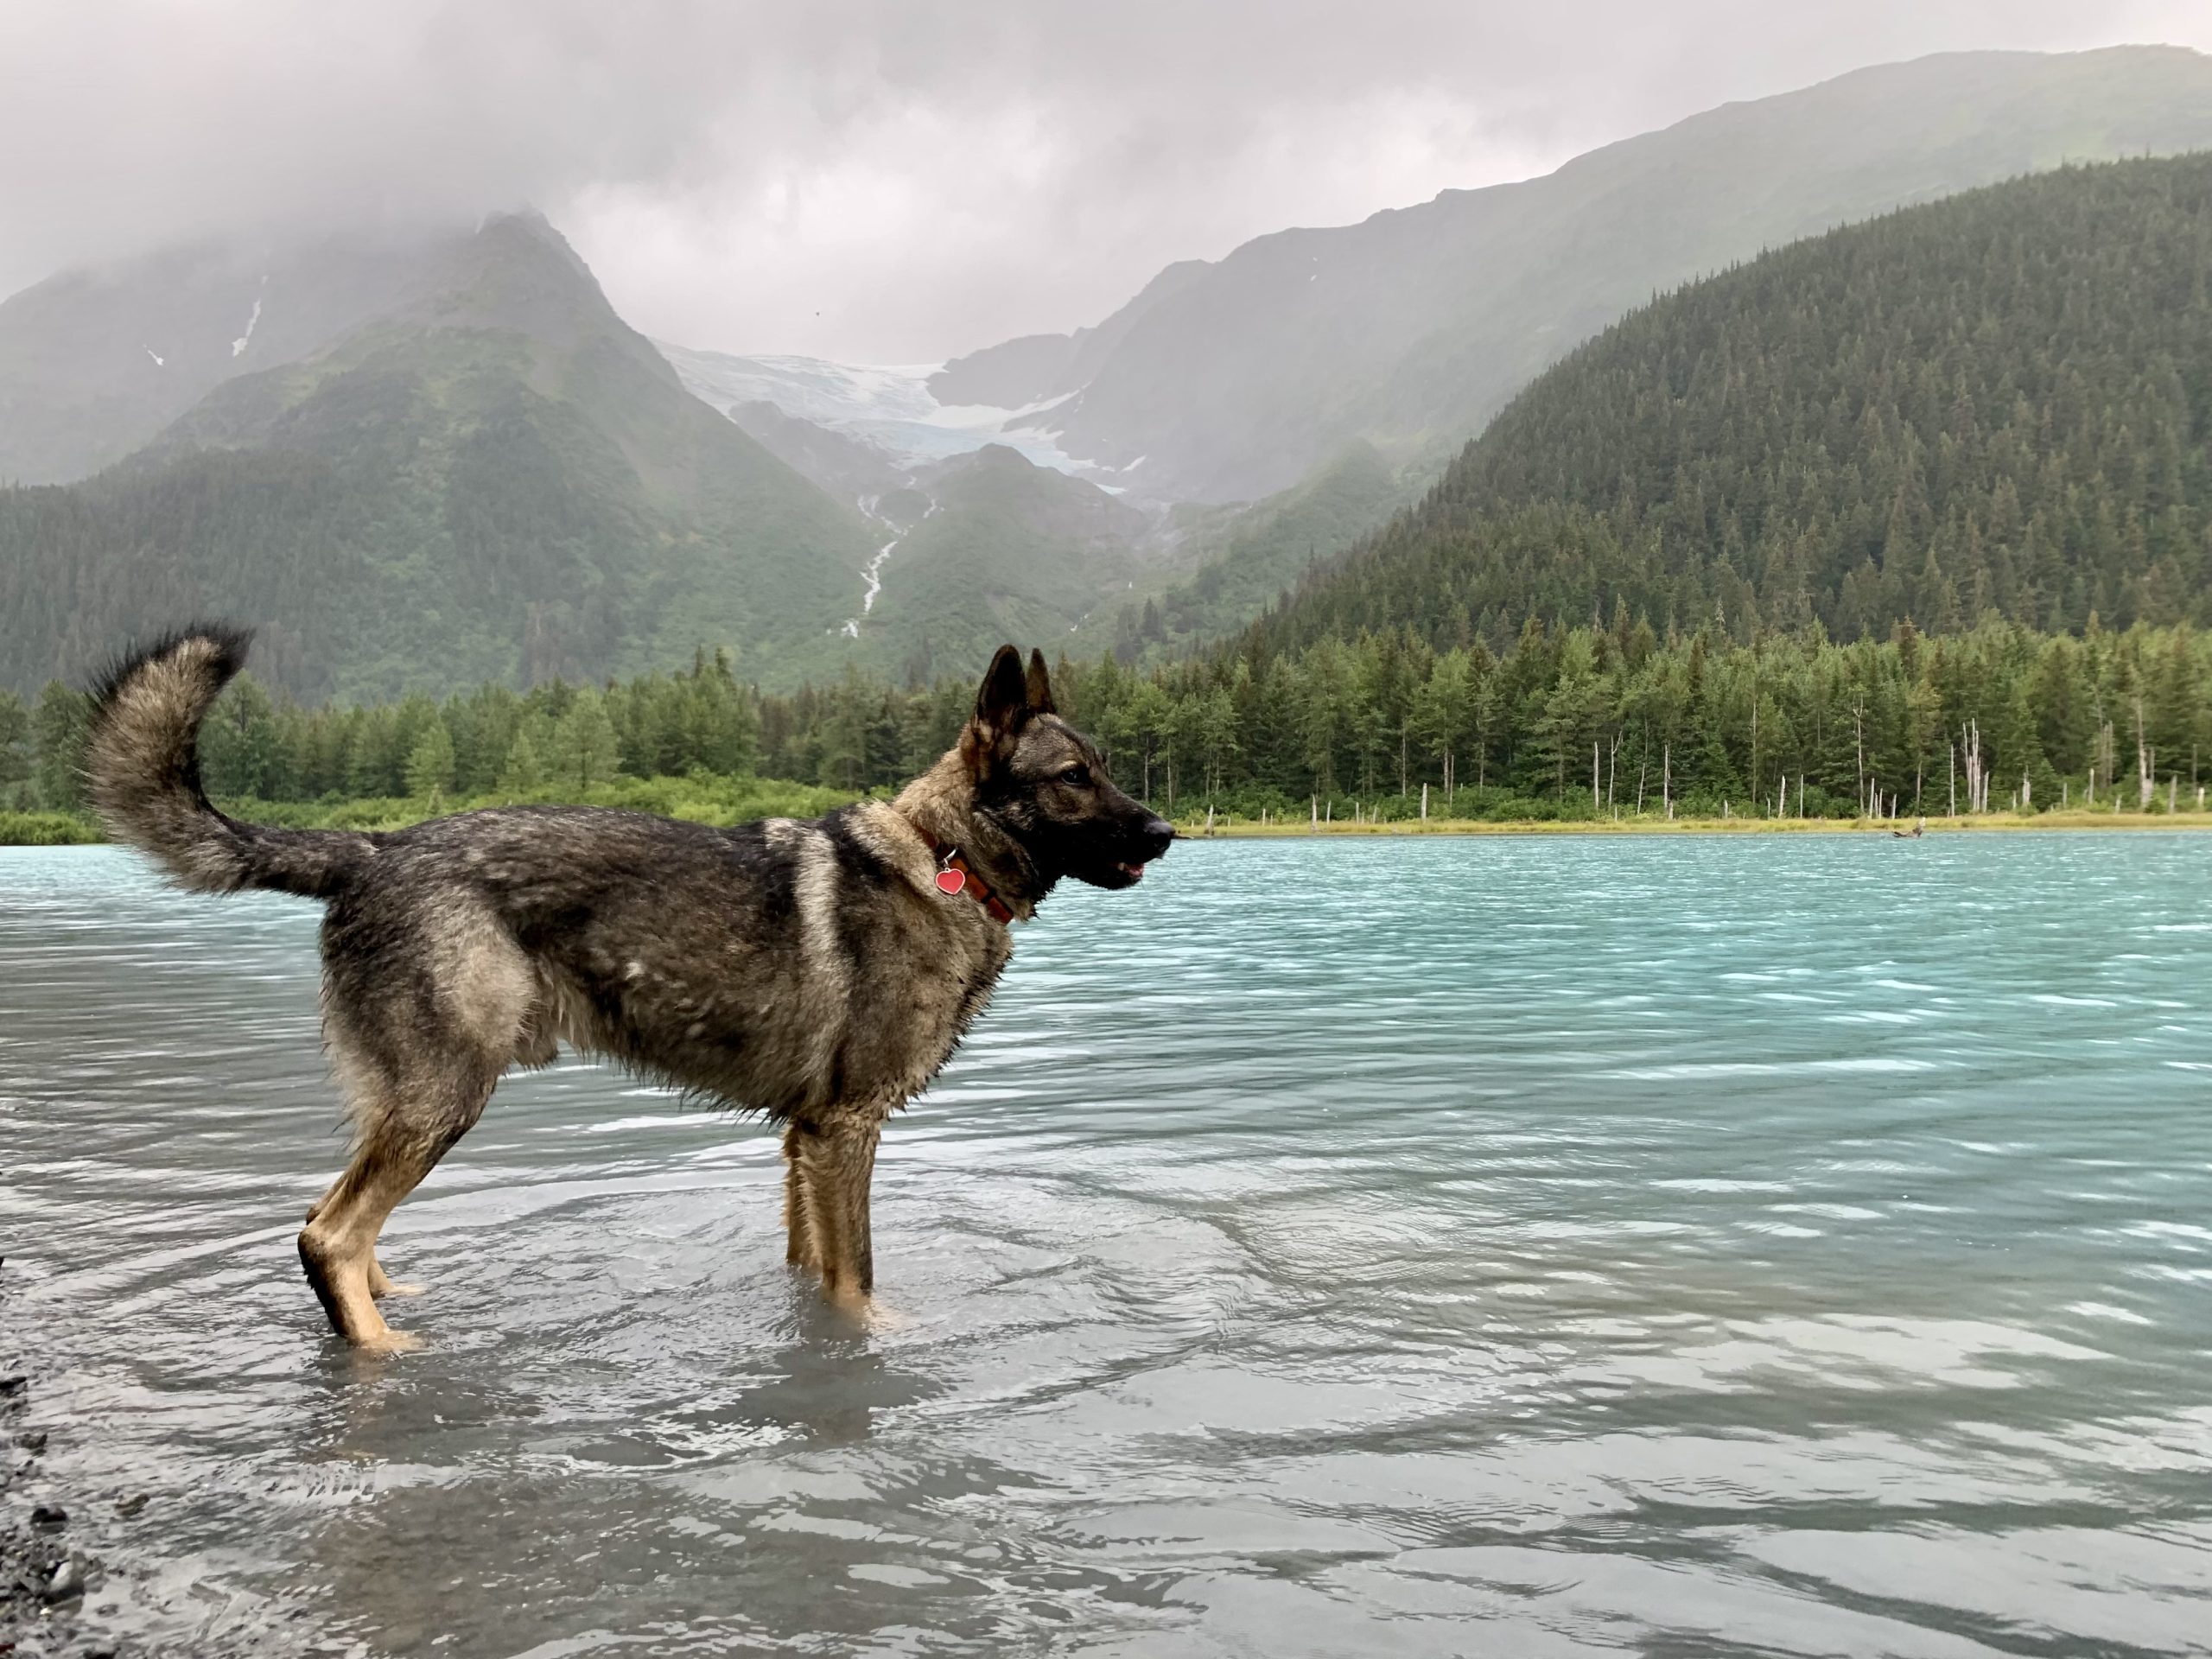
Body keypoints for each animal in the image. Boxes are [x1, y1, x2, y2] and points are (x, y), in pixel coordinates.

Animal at [86, 628, 1176, 1353]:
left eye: (1108, 767)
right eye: (1072, 777)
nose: (1165, 833)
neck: (941, 856)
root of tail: (375, 846)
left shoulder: (803, 1140)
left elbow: (810, 1274)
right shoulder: (847, 1131)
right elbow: (858, 1284)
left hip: (402, 1103)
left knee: (343, 1230)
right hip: (446, 1101)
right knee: (326, 1235)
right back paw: (385, 1354)